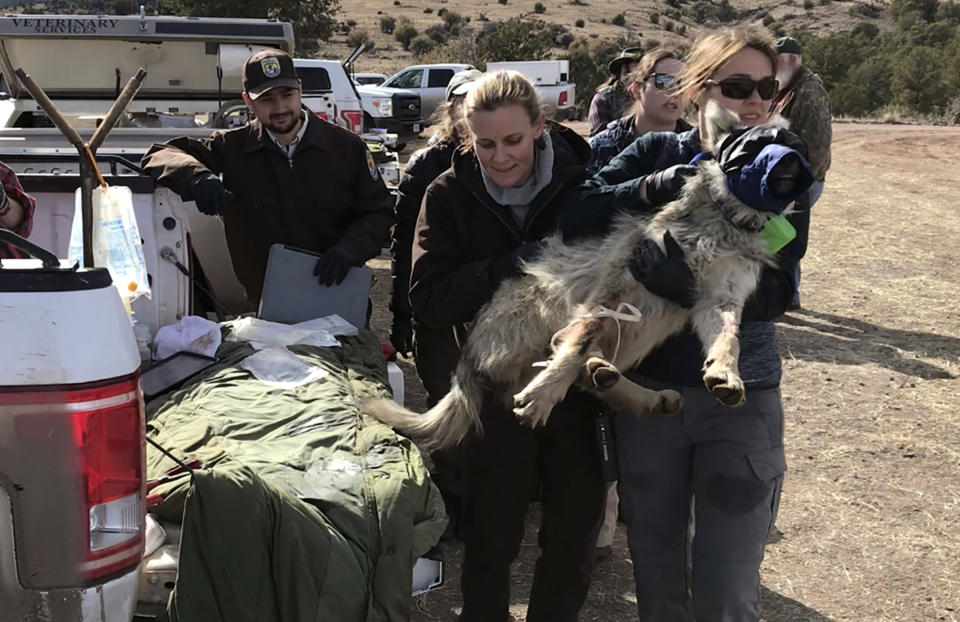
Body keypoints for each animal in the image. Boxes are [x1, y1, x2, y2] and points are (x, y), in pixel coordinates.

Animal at [364, 103, 812, 454]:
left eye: (797, 146)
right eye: (752, 143)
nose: (789, 163)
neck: (726, 220)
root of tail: (466, 364)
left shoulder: (719, 296)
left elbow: (729, 338)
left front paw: (726, 372)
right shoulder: (618, 282)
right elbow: (578, 341)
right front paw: (544, 394)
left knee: (585, 365)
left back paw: (634, 389)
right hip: (549, 294)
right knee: (561, 346)